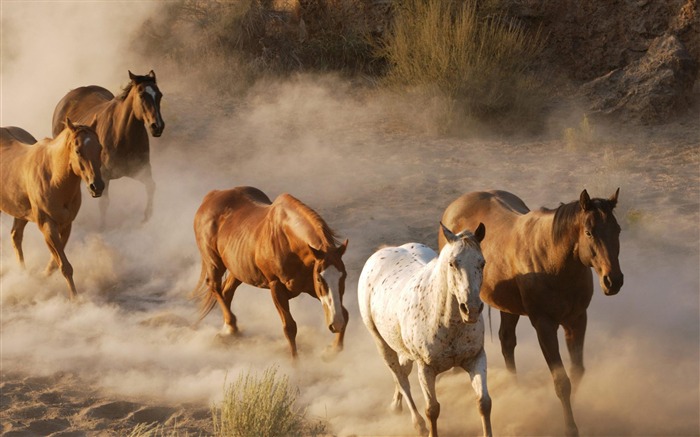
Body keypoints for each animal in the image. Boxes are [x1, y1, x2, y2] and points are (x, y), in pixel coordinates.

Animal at [0, 117, 104, 298]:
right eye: (78, 151)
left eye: (99, 148)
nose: (96, 186)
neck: (54, 177)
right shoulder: (47, 225)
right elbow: (64, 265)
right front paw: (75, 299)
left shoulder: (66, 224)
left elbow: (56, 263)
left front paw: (42, 276)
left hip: (20, 213)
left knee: (15, 237)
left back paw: (23, 274)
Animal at [51, 70, 165, 227]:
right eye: (141, 95)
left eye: (159, 94)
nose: (157, 126)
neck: (122, 136)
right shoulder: (102, 176)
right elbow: (104, 203)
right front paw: (102, 227)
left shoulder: (142, 170)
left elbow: (151, 186)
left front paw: (147, 218)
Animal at [191, 186, 350, 356]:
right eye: (320, 278)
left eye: (344, 276)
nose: (336, 324)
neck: (288, 240)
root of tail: (212, 196)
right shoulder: (276, 287)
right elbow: (289, 327)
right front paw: (295, 362)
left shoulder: (310, 288)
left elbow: (345, 314)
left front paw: (332, 350)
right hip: (214, 262)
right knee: (214, 286)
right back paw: (231, 327)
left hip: (237, 269)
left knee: (226, 292)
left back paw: (229, 330)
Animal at [360, 223, 492, 434]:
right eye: (452, 263)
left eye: (482, 263)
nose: (471, 309)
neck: (447, 323)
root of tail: (384, 251)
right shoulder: (426, 369)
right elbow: (432, 410)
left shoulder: (476, 358)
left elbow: (484, 403)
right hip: (382, 344)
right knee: (401, 378)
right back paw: (417, 423)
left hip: (402, 347)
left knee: (403, 371)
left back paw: (395, 405)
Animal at [440, 189, 628, 436]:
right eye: (589, 232)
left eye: (617, 230)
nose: (613, 281)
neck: (554, 261)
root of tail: (455, 205)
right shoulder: (544, 326)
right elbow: (562, 381)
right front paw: (569, 427)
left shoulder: (577, 320)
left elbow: (577, 371)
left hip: (508, 307)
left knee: (507, 341)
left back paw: (516, 389)